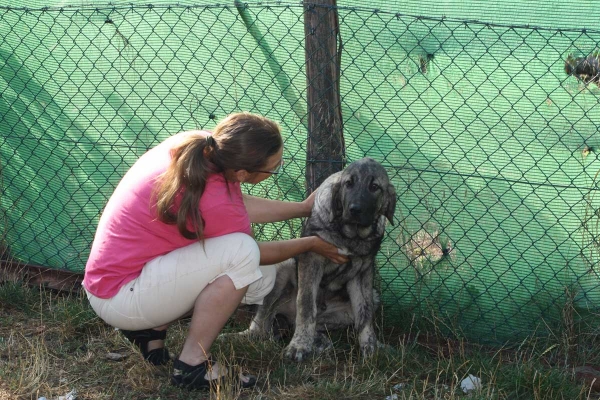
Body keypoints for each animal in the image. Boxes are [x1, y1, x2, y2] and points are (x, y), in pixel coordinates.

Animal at [241, 159, 396, 362]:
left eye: (374, 187)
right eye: (348, 184)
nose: (354, 209)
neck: (350, 235)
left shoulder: (363, 270)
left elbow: (365, 312)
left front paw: (371, 346)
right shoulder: (311, 258)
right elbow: (306, 305)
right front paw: (298, 346)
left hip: (363, 302)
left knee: (313, 323)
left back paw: (318, 340)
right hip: (283, 269)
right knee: (262, 323)